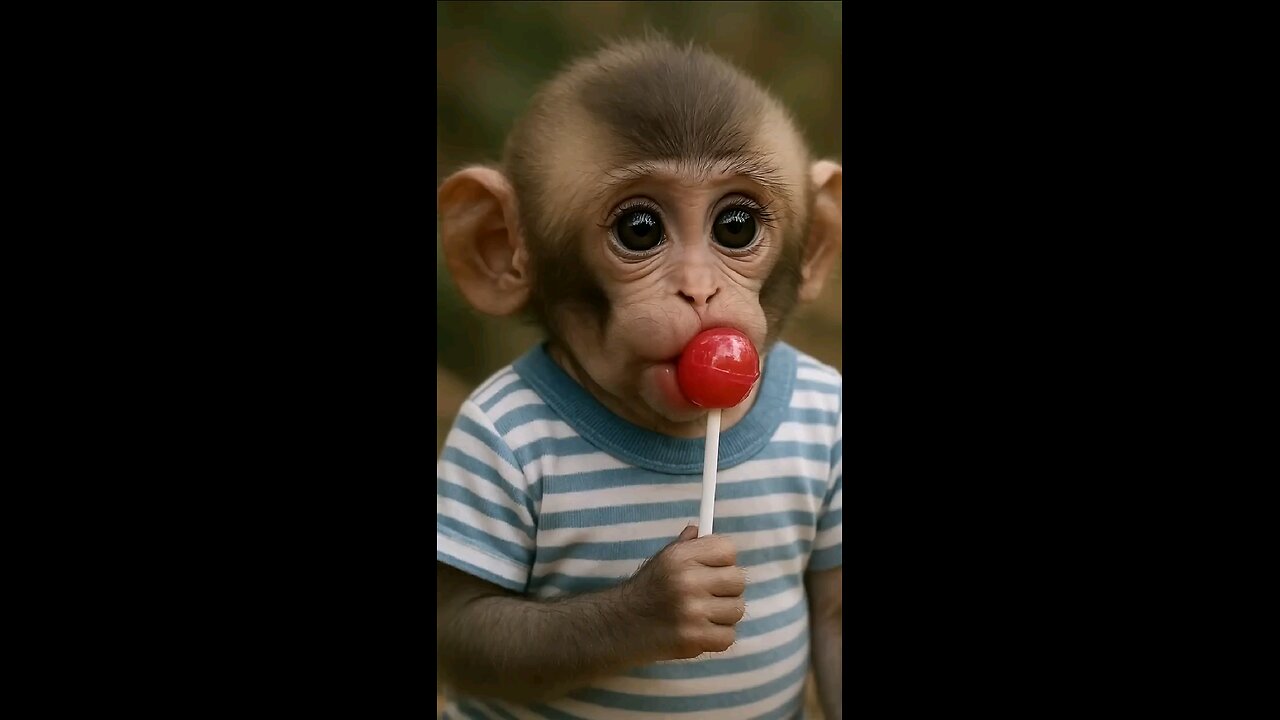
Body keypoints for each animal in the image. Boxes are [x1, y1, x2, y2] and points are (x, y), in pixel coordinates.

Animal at [436, 37, 842, 720]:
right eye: (640, 229)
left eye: (735, 226)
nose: (699, 290)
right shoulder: (482, 444)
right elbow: (467, 624)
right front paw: (667, 599)